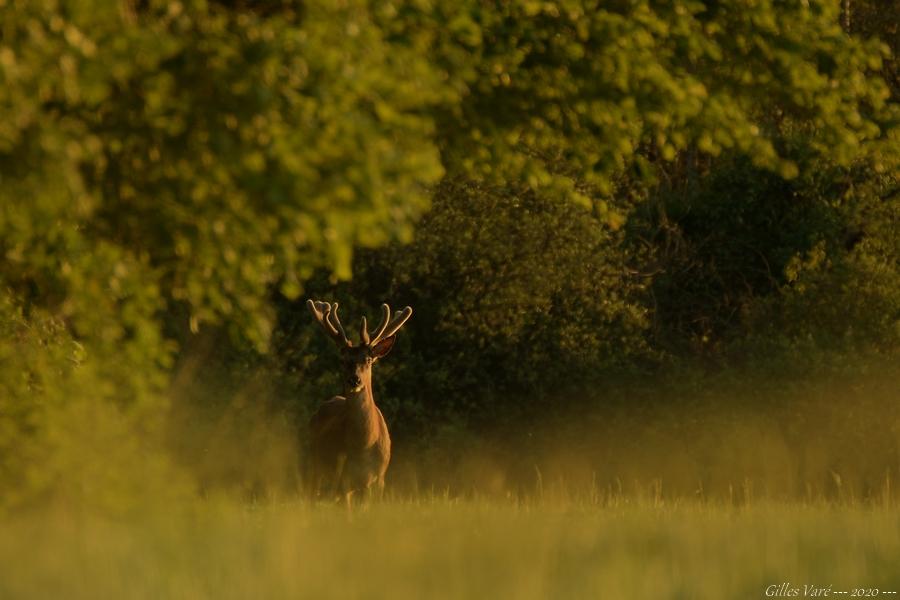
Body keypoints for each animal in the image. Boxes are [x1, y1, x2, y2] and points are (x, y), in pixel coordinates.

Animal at [306, 300, 412, 506]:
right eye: (343, 360)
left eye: (369, 359)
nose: (354, 380)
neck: (364, 445)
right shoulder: (343, 477)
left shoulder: (379, 479)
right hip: (315, 464)